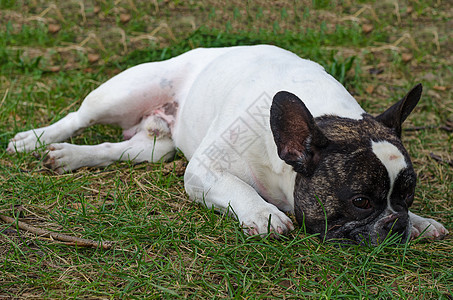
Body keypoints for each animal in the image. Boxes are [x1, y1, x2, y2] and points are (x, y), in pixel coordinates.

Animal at [6, 45, 444, 245]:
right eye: (361, 201)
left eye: (407, 196)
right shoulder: (205, 170)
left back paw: (74, 156)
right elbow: (238, 188)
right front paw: (264, 215)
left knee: (126, 150)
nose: (396, 224)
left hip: (158, 143)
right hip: (121, 92)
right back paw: (39, 140)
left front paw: (421, 222)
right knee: (78, 118)